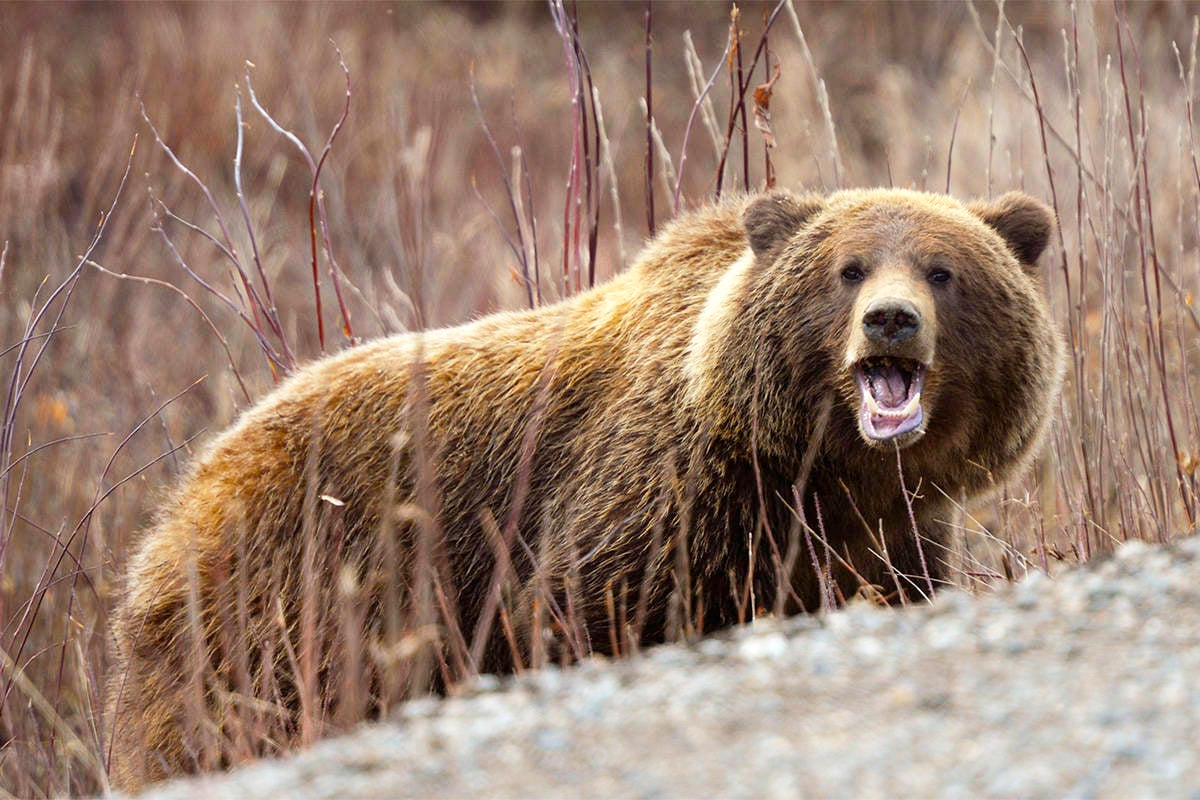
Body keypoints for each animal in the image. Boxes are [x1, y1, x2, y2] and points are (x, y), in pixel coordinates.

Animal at [103, 185, 1060, 786]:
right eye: (850, 267)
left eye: (942, 270)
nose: (891, 321)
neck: (821, 469)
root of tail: (181, 492)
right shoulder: (661, 503)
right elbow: (579, 610)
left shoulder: (894, 530)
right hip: (286, 589)